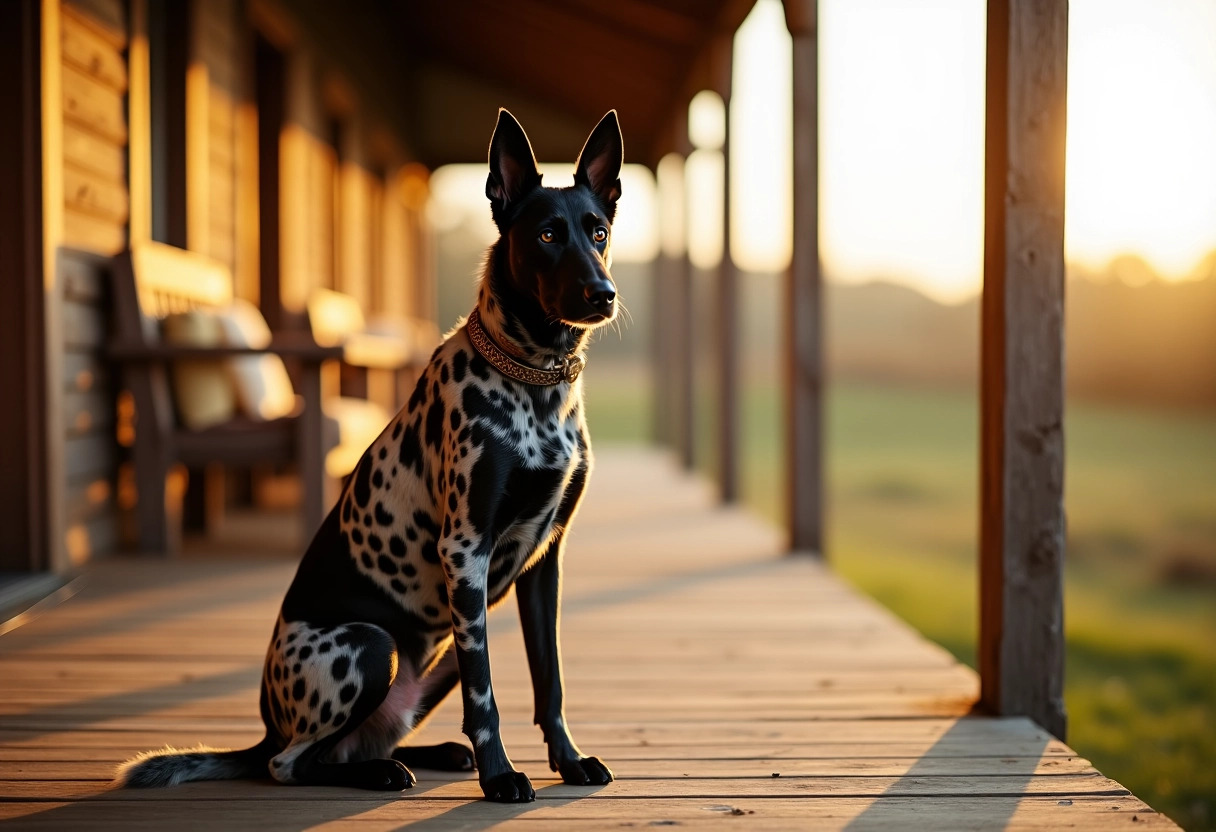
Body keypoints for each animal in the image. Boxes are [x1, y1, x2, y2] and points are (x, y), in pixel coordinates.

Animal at [117, 110, 622, 807]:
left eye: (598, 231)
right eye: (547, 234)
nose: (603, 294)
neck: (536, 382)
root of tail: (267, 728)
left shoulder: (544, 562)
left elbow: (550, 680)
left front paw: (567, 761)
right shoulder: (465, 550)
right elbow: (486, 694)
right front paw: (499, 775)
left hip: (431, 657)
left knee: (361, 741)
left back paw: (425, 754)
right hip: (370, 646)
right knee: (293, 763)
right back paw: (381, 770)